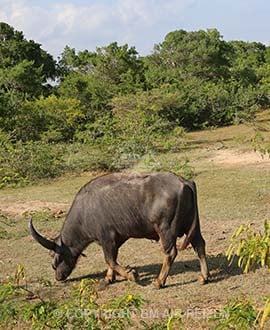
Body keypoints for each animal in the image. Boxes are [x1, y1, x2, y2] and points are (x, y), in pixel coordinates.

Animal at [29, 171, 209, 288]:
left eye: (56, 256)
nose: (58, 277)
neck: (85, 211)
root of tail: (184, 182)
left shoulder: (106, 237)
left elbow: (109, 259)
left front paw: (131, 275)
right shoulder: (118, 237)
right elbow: (113, 258)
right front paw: (110, 277)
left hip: (166, 230)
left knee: (170, 252)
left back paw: (159, 281)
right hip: (193, 227)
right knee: (199, 245)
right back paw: (204, 277)